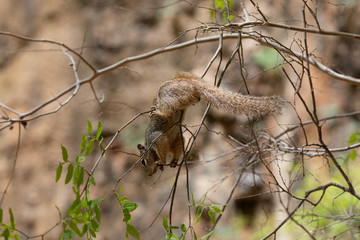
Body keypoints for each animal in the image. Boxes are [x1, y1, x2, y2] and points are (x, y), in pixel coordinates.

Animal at [137, 72, 284, 175]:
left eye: (143, 162)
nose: (149, 174)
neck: (149, 145)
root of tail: (189, 81)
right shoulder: (176, 138)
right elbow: (178, 147)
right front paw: (173, 162)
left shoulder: (155, 138)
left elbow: (161, 145)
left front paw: (162, 161)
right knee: (194, 98)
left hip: (169, 92)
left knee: (168, 105)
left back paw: (157, 111)